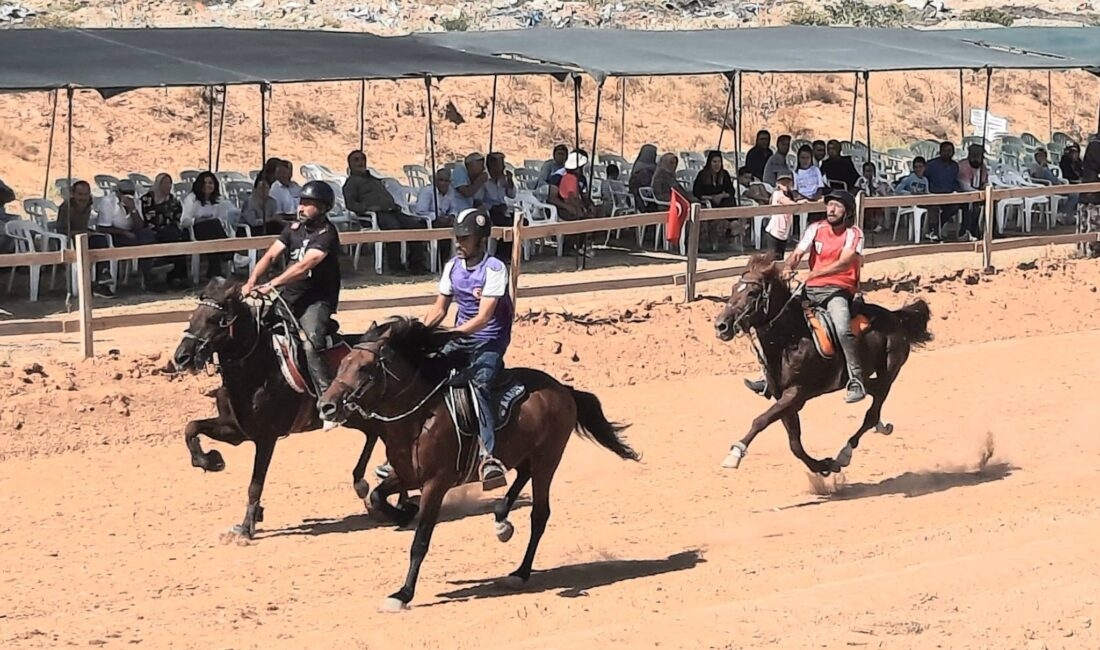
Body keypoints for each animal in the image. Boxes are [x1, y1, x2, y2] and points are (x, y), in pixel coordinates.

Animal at [171, 278, 409, 538]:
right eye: (192, 316)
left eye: (215, 319)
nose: (181, 357)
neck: (258, 367)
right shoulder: (235, 429)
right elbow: (191, 428)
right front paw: (211, 460)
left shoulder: (266, 437)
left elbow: (256, 483)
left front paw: (245, 527)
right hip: (360, 418)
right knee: (374, 436)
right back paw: (370, 489)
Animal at [314, 318, 642, 611]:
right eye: (342, 364)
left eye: (364, 368)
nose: (326, 406)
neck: (420, 417)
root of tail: (563, 389)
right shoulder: (406, 475)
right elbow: (376, 497)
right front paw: (402, 512)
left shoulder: (436, 483)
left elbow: (420, 541)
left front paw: (403, 594)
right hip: (524, 455)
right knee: (518, 479)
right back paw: (501, 517)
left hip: (548, 458)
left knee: (539, 514)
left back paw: (520, 572)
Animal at [708, 254, 932, 477]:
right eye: (733, 289)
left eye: (753, 293)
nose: (721, 326)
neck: (790, 339)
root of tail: (896, 317)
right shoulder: (784, 398)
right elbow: (794, 442)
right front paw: (822, 466)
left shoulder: (795, 393)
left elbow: (761, 420)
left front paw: (734, 454)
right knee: (872, 393)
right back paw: (879, 426)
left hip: (889, 373)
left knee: (872, 412)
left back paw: (846, 452)